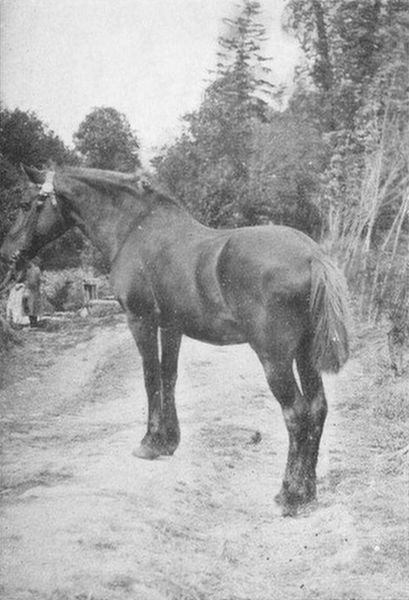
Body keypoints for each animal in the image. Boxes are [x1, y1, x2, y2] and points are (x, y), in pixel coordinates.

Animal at [0, 166, 350, 512]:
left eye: (27, 204)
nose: (7, 254)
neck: (134, 229)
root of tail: (312, 255)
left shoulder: (140, 320)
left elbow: (150, 376)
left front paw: (149, 442)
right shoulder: (172, 326)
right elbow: (169, 376)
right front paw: (168, 441)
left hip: (274, 358)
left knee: (297, 414)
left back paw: (290, 495)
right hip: (305, 354)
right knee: (317, 408)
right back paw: (308, 491)